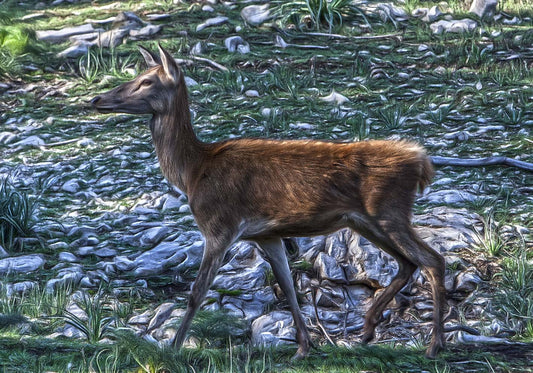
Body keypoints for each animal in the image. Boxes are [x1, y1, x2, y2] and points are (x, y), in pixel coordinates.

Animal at [90, 45, 444, 358]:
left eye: (148, 80)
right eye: (139, 74)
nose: (97, 99)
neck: (193, 172)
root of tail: (422, 161)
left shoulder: (219, 227)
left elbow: (197, 292)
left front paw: (173, 346)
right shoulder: (267, 234)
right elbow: (288, 288)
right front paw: (304, 347)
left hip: (388, 211)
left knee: (433, 260)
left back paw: (432, 346)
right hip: (365, 221)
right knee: (408, 262)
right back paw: (368, 329)